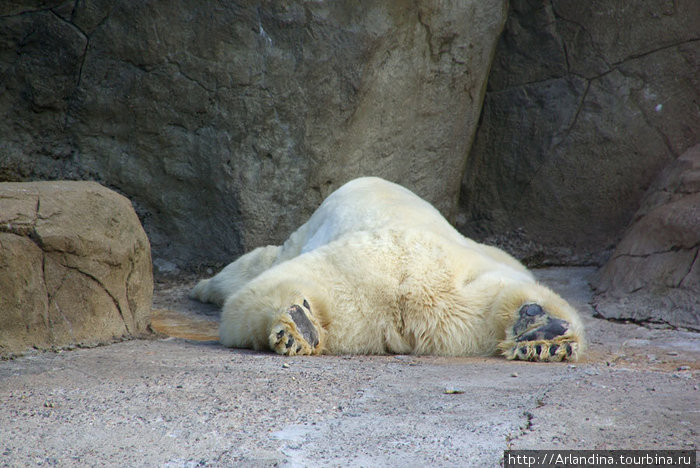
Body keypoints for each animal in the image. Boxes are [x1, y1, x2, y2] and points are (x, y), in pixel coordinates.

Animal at [189, 176, 584, 362]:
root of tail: (415, 294)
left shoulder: (302, 237)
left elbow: (255, 263)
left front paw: (202, 286)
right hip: (452, 295)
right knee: (501, 296)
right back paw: (544, 333)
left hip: (352, 272)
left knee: (262, 289)